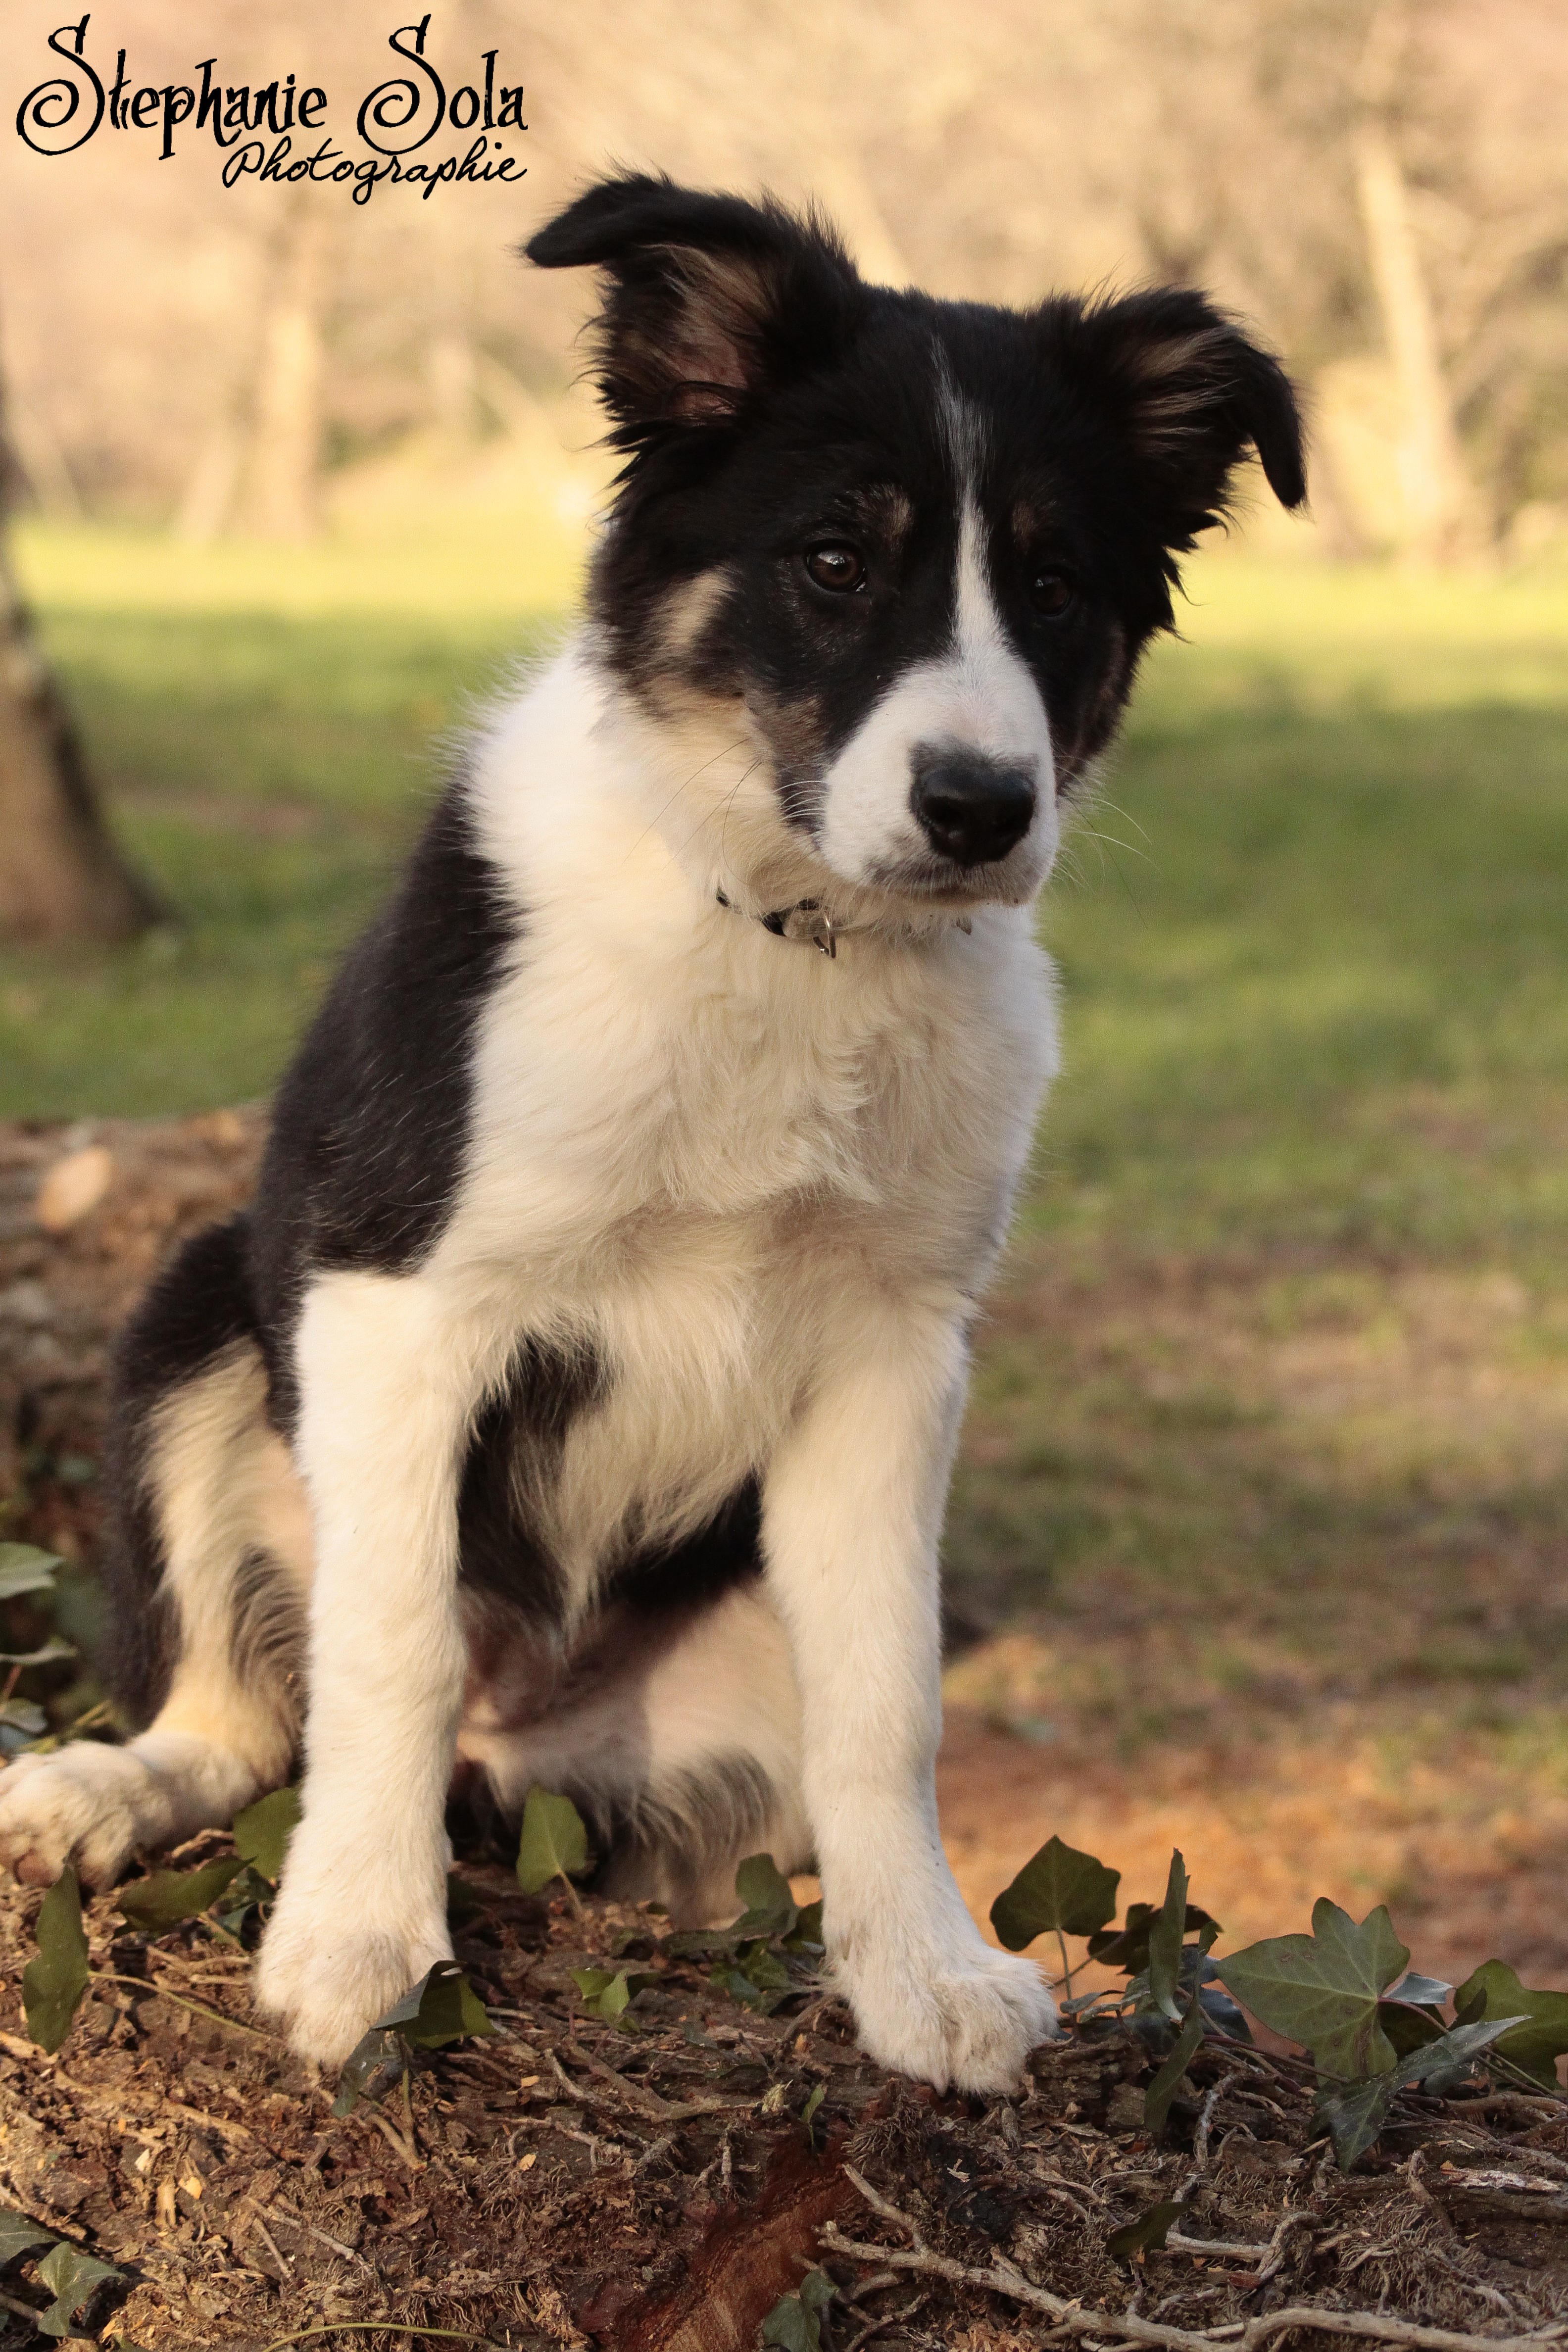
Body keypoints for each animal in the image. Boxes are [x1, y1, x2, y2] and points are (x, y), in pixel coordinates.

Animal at [0, 170, 1297, 2098]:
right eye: (832, 561)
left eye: (1057, 587)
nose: (980, 810)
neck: (784, 932)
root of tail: (518, 1742)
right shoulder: (396, 1297)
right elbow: (387, 1647)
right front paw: (357, 1944)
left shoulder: (892, 1349)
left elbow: (889, 1701)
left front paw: (924, 1976)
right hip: (196, 1311)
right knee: (249, 1710)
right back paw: (107, 1791)